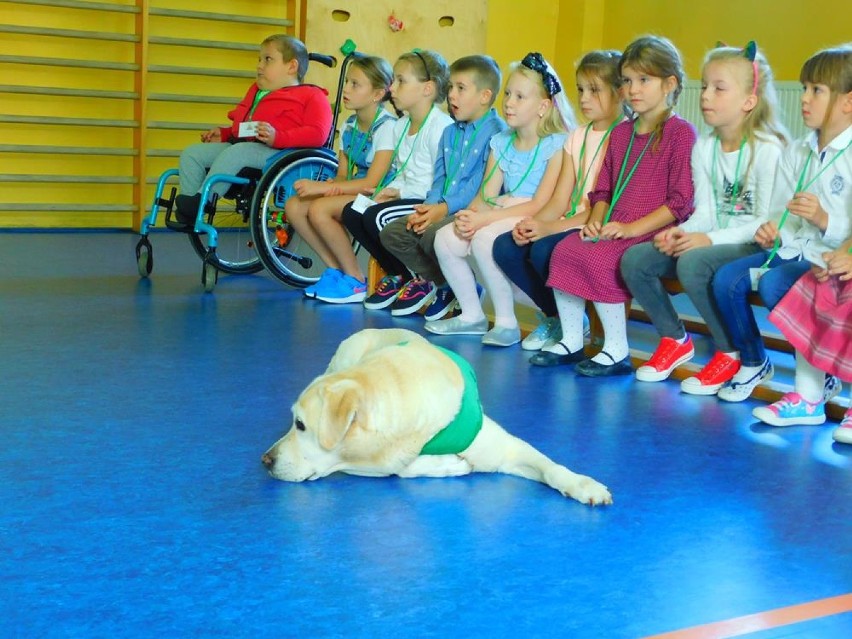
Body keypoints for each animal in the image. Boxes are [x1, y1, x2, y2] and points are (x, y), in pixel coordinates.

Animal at [260, 330, 612, 504]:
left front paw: (583, 485)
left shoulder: (508, 450)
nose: (265, 460)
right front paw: (449, 465)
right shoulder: (374, 463)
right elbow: (403, 469)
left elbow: (552, 468)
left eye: (301, 425)